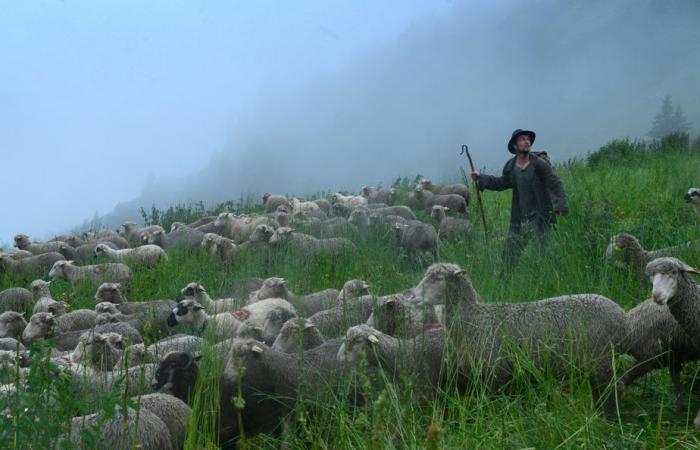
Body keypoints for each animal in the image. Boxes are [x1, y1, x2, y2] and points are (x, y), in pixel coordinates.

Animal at [424, 264, 632, 414]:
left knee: (614, 389)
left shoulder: (496, 373)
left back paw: (606, 418)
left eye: (438, 278)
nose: (416, 297)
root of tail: (624, 319)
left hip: (602, 359)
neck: (475, 318)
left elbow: (496, 404)